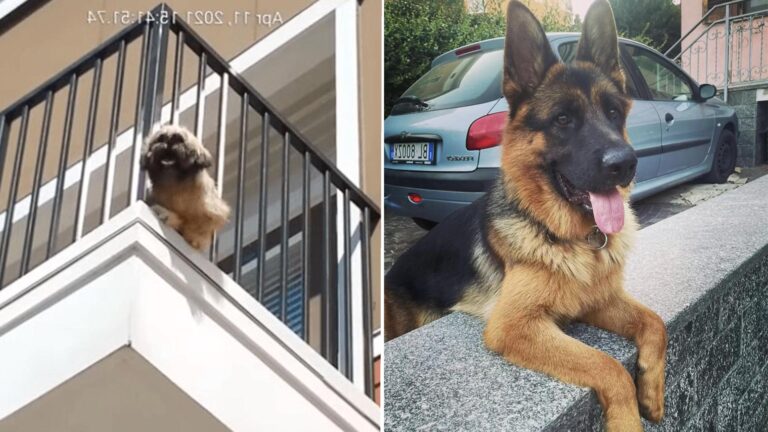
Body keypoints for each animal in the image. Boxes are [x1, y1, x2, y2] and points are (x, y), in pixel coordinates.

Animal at [384, 1, 664, 430]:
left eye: (614, 113)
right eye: (563, 119)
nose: (626, 164)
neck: (575, 239)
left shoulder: (597, 300)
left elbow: (655, 322)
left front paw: (652, 392)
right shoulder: (515, 325)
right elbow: (608, 365)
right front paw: (627, 420)